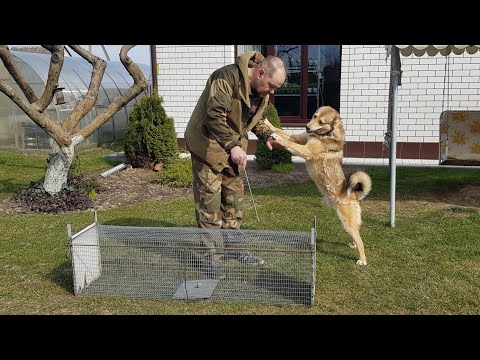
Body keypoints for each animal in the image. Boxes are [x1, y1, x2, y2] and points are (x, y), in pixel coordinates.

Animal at [266, 105, 372, 266]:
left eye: (322, 122)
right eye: (314, 115)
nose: (307, 127)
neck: (324, 135)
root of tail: (354, 195)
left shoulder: (305, 150)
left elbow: (288, 143)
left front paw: (277, 138)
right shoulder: (300, 138)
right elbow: (281, 130)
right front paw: (267, 122)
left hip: (347, 221)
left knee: (361, 241)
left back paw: (362, 260)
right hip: (349, 224)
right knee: (357, 235)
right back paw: (353, 245)